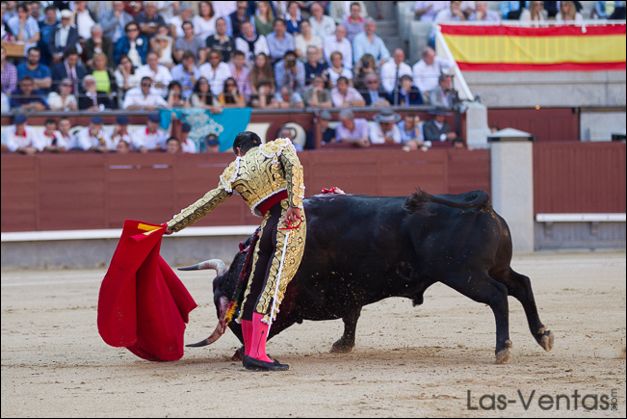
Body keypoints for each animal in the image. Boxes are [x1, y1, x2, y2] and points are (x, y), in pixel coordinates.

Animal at [182, 191, 556, 364]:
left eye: (233, 318)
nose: (239, 349)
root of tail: (476, 202)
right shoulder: (350, 289)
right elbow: (352, 317)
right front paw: (343, 345)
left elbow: (345, 315)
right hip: (494, 268)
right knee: (522, 285)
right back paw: (543, 335)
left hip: (464, 275)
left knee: (497, 296)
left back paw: (502, 348)